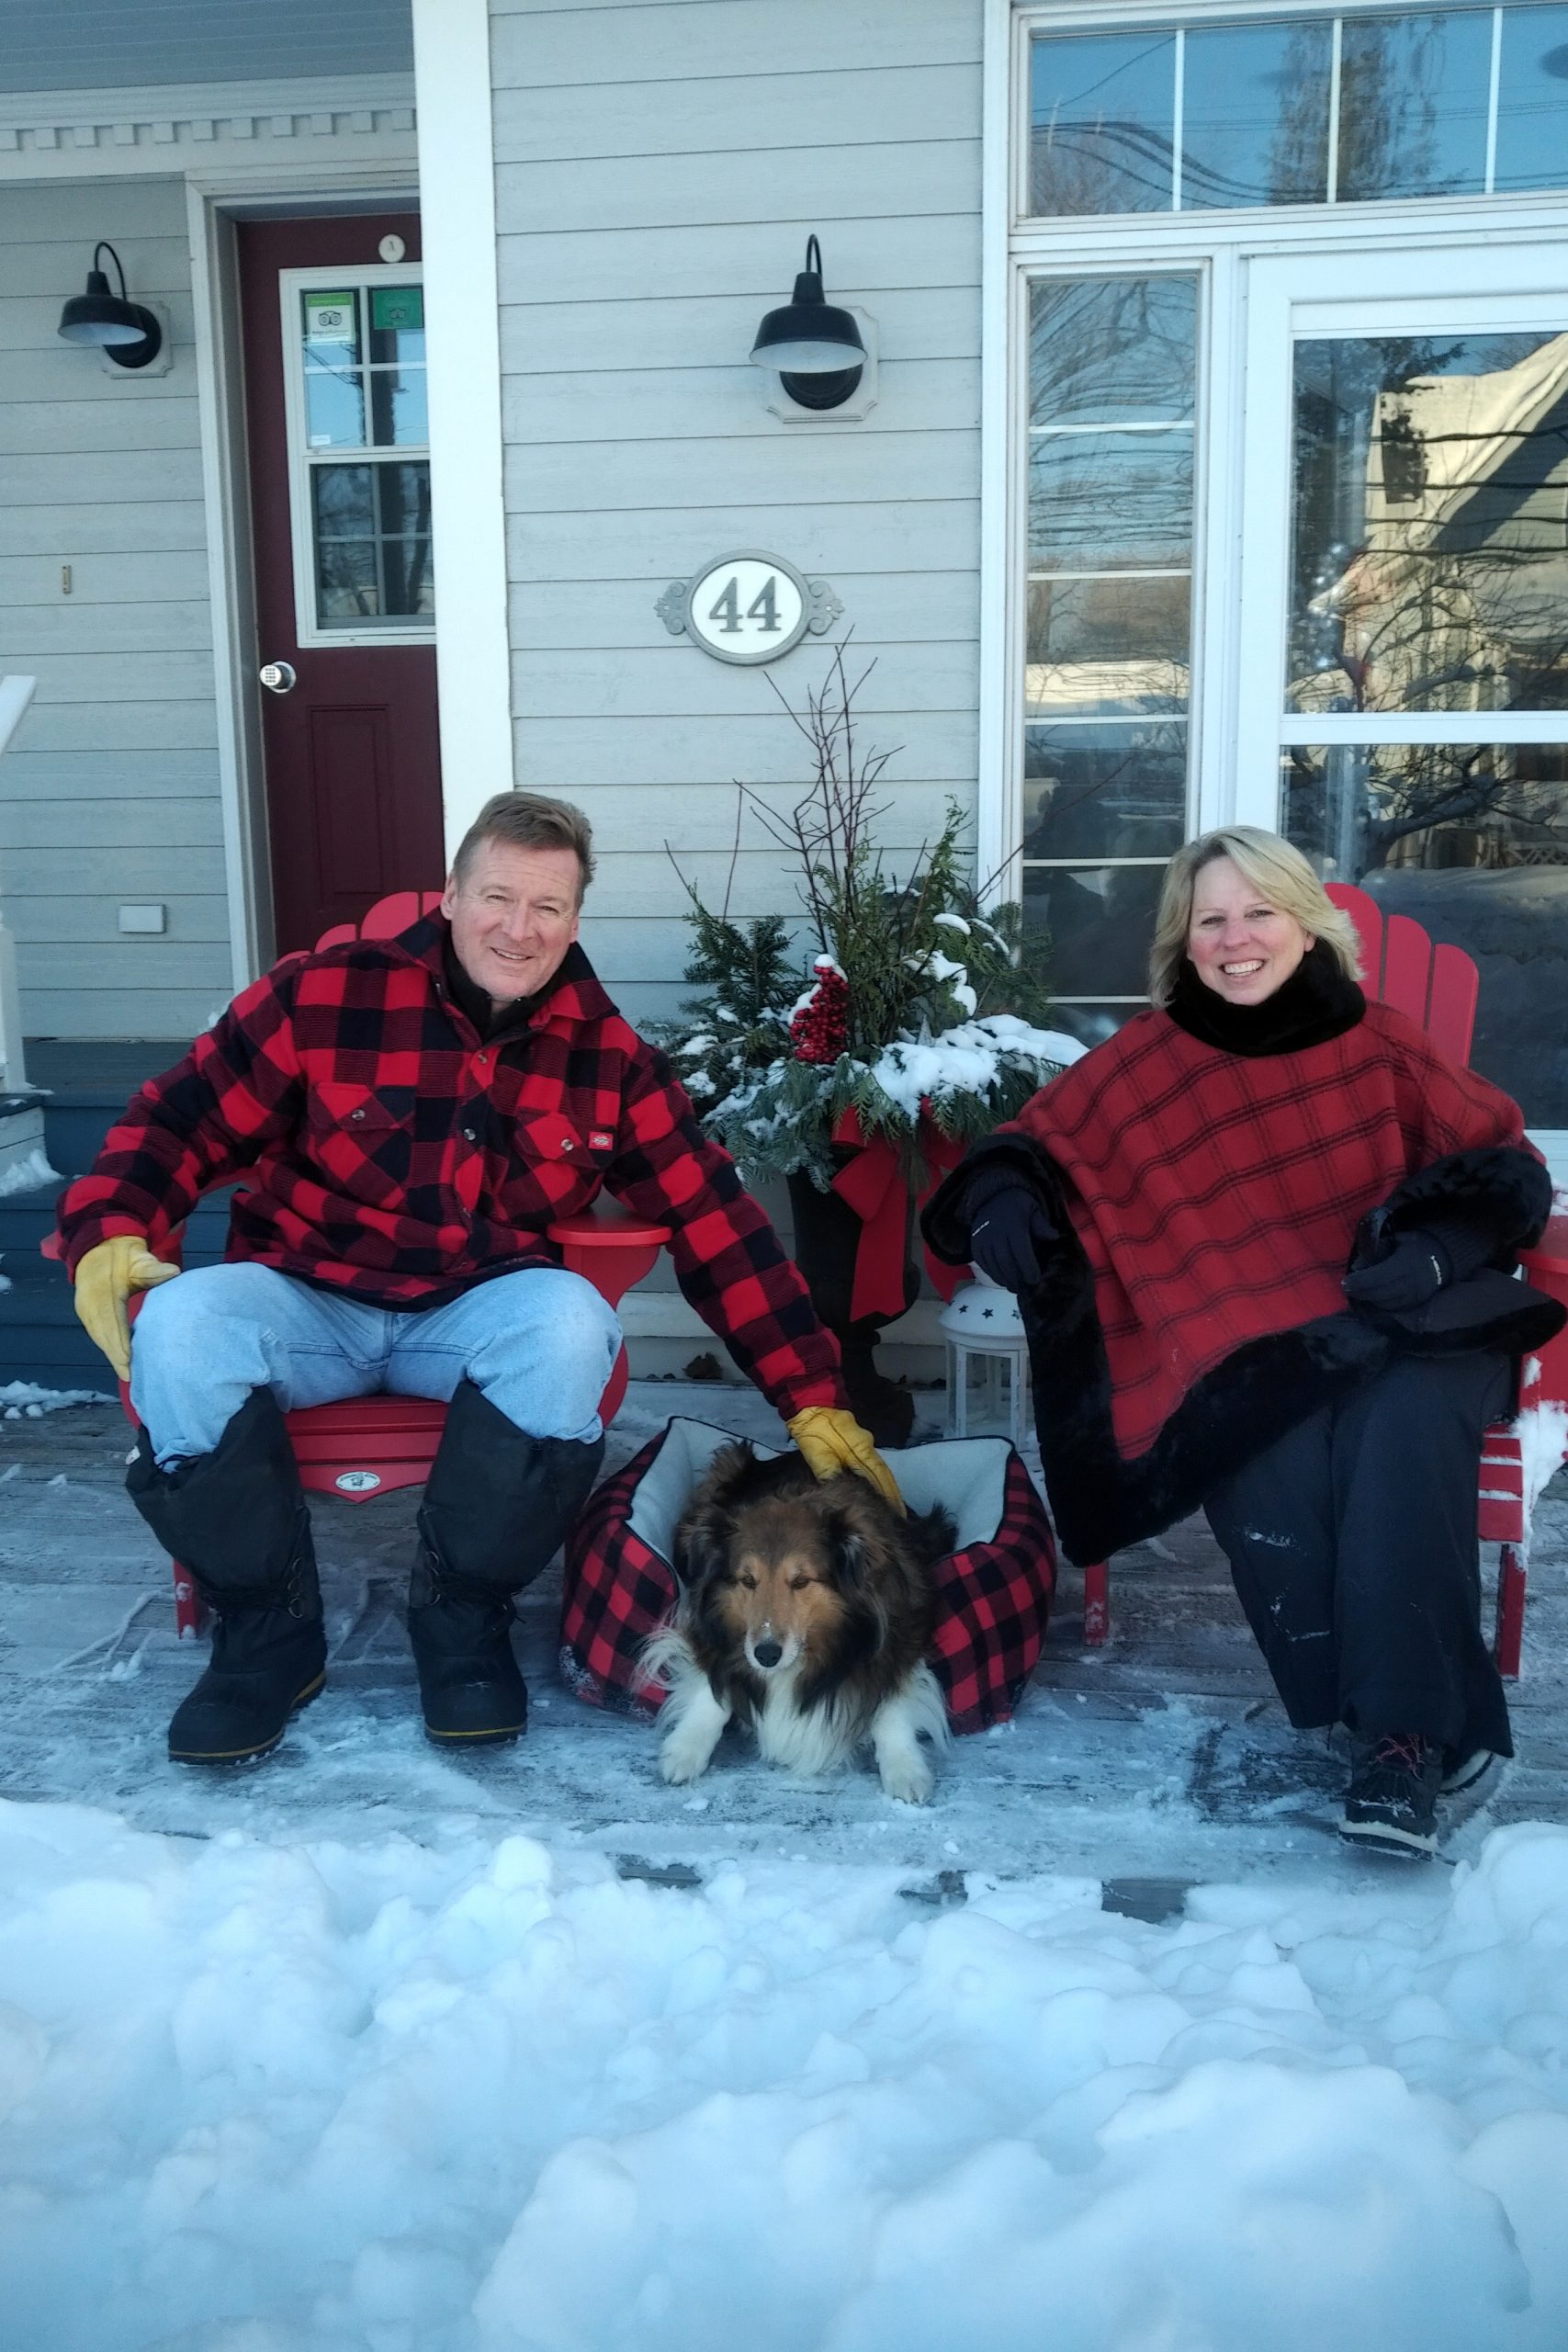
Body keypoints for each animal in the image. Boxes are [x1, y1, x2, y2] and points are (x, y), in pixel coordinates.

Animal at [639, 1430, 959, 1796]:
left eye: (802, 1580)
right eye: (747, 1580)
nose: (766, 1656)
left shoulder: (904, 1638)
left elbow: (891, 1703)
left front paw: (905, 1770)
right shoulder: (706, 1629)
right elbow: (713, 1688)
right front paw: (684, 1750)